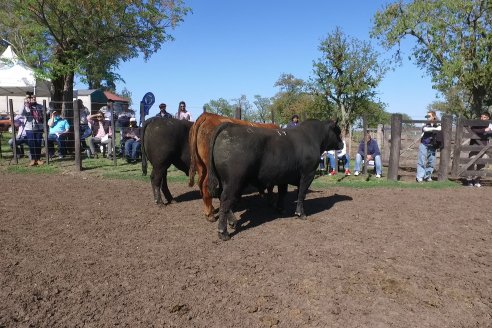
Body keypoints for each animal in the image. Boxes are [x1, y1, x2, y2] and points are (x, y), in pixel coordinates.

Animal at [207, 119, 342, 240]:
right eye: (338, 131)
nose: (342, 144)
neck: (311, 137)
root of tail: (229, 126)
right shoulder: (308, 173)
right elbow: (301, 194)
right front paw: (300, 213)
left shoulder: (284, 175)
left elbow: (283, 193)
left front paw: (280, 209)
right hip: (234, 181)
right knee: (225, 200)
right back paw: (223, 233)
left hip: (224, 181)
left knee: (222, 198)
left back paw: (233, 222)